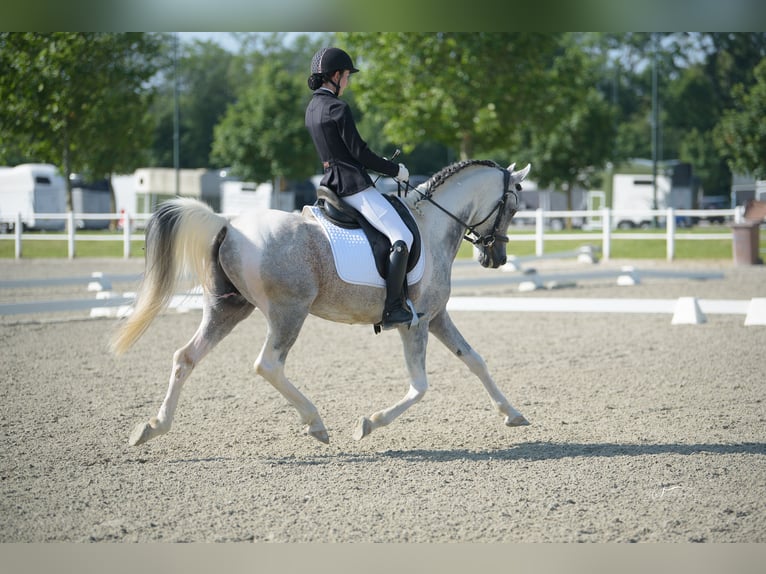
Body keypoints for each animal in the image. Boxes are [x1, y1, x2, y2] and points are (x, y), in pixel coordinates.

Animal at [112, 159, 532, 446]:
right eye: (512, 208)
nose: (496, 258)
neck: (430, 225)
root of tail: (228, 224)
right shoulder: (416, 321)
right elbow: (420, 386)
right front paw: (369, 423)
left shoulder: (437, 316)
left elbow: (474, 360)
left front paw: (513, 414)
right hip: (289, 312)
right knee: (268, 365)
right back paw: (315, 422)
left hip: (228, 309)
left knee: (185, 357)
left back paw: (151, 427)